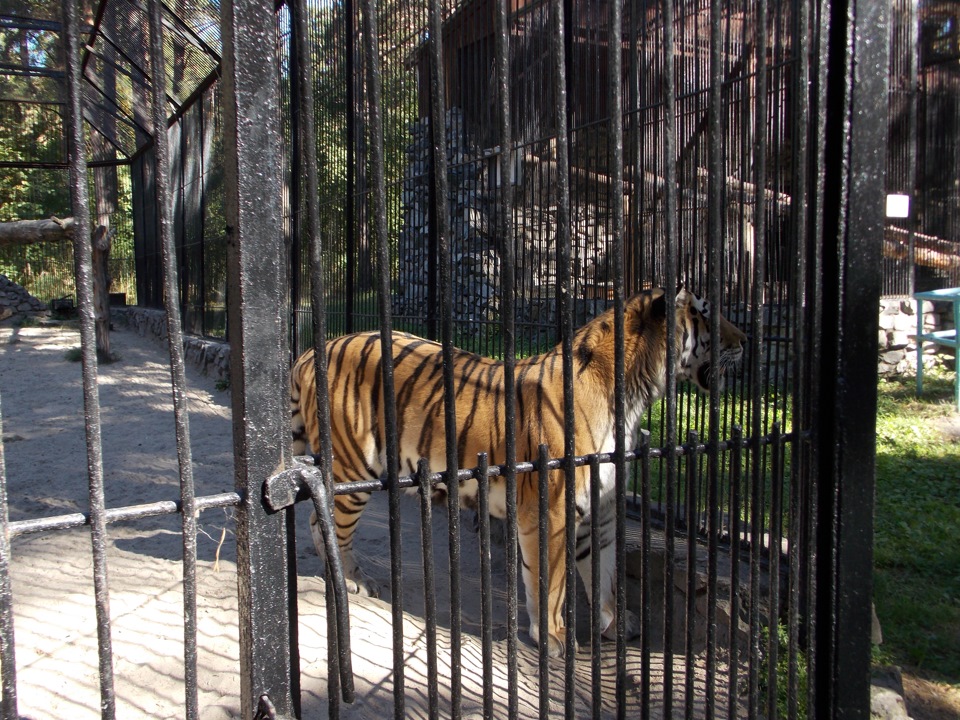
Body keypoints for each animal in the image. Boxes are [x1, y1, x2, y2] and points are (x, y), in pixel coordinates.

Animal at [288, 288, 748, 660]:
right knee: (325, 524)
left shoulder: (601, 513)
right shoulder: (553, 513)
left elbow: (605, 576)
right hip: (353, 469)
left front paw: (616, 623)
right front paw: (555, 637)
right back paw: (354, 582)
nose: (745, 341)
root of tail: (312, 351)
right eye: (704, 313)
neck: (632, 400)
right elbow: (551, 583)